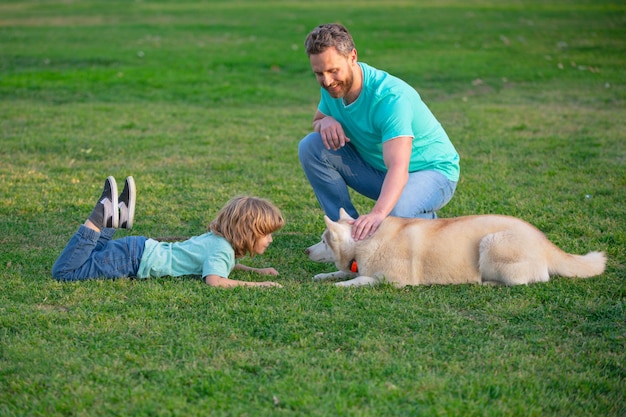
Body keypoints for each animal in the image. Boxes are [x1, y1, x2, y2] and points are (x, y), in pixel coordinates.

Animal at [304, 208, 604, 286]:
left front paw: (340, 285)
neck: (366, 242)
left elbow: (361, 280)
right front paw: (325, 275)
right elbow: (343, 272)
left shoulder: (393, 281)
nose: (306, 251)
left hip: (491, 244)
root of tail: (544, 241)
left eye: (323, 240)